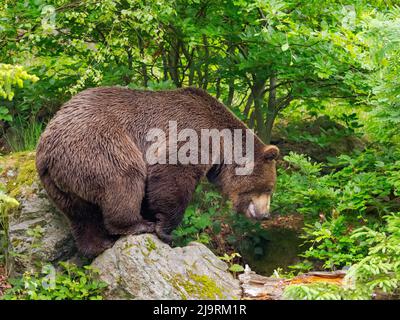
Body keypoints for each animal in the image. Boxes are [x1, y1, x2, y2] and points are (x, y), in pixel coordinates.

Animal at [35, 86, 278, 256]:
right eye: (269, 188)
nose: (265, 214)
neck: (222, 145)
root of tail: (49, 148)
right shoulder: (191, 134)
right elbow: (171, 174)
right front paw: (166, 231)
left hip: (58, 182)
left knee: (81, 214)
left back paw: (97, 245)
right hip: (97, 145)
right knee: (124, 177)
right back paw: (136, 225)